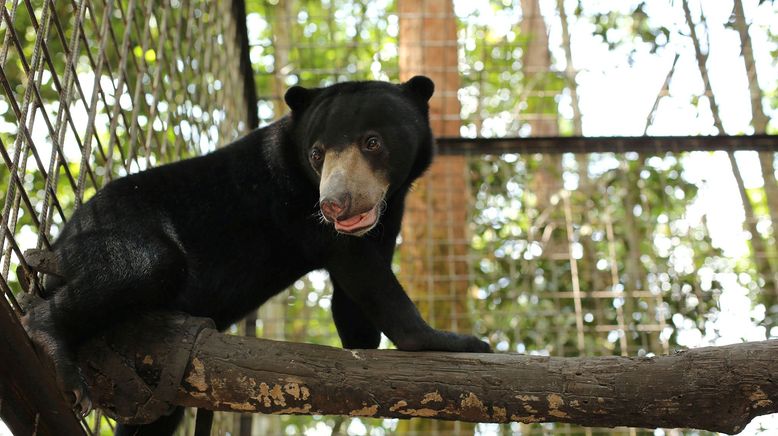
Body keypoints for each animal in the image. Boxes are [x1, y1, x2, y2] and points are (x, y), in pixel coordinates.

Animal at [21, 76, 488, 434]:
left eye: (372, 142)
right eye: (317, 154)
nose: (335, 205)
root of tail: (59, 245)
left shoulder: (391, 211)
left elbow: (355, 312)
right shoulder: (300, 208)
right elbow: (369, 278)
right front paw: (455, 342)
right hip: (112, 228)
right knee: (144, 266)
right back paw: (53, 347)